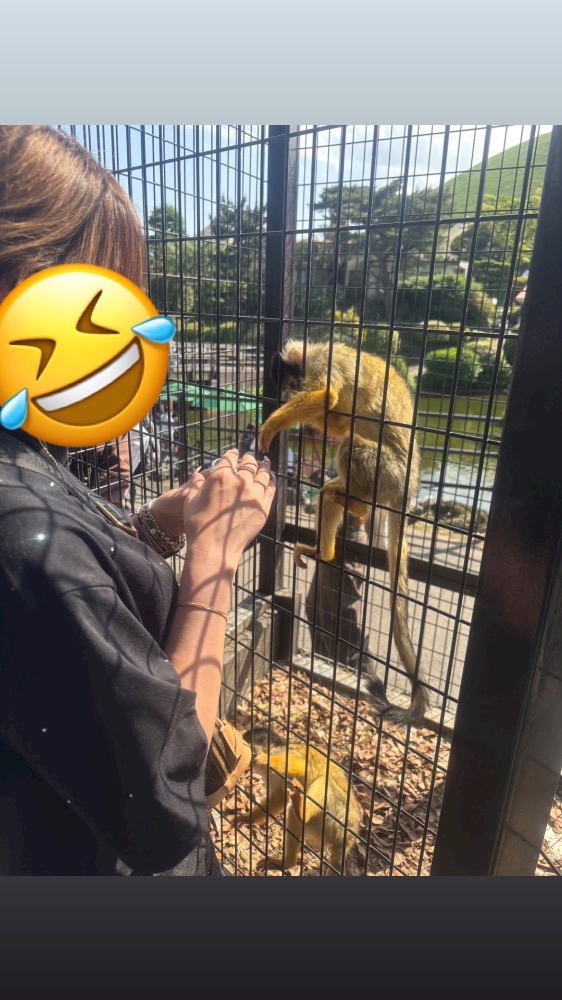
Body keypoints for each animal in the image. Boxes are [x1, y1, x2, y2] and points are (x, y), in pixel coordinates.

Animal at [236, 730, 365, 876]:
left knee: (324, 781)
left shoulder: (280, 752)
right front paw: (247, 818)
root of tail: (348, 835)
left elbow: (304, 767)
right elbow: (279, 798)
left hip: (336, 816)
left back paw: (302, 812)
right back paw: (287, 862)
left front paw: (266, 759)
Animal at [259, 339, 428, 728]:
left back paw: (361, 510)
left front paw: (274, 423)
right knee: (335, 472)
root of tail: (408, 490)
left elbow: (328, 394)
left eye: (293, 385)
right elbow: (336, 417)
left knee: (352, 445)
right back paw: (327, 546)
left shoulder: (322, 363)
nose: (291, 394)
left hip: (388, 474)